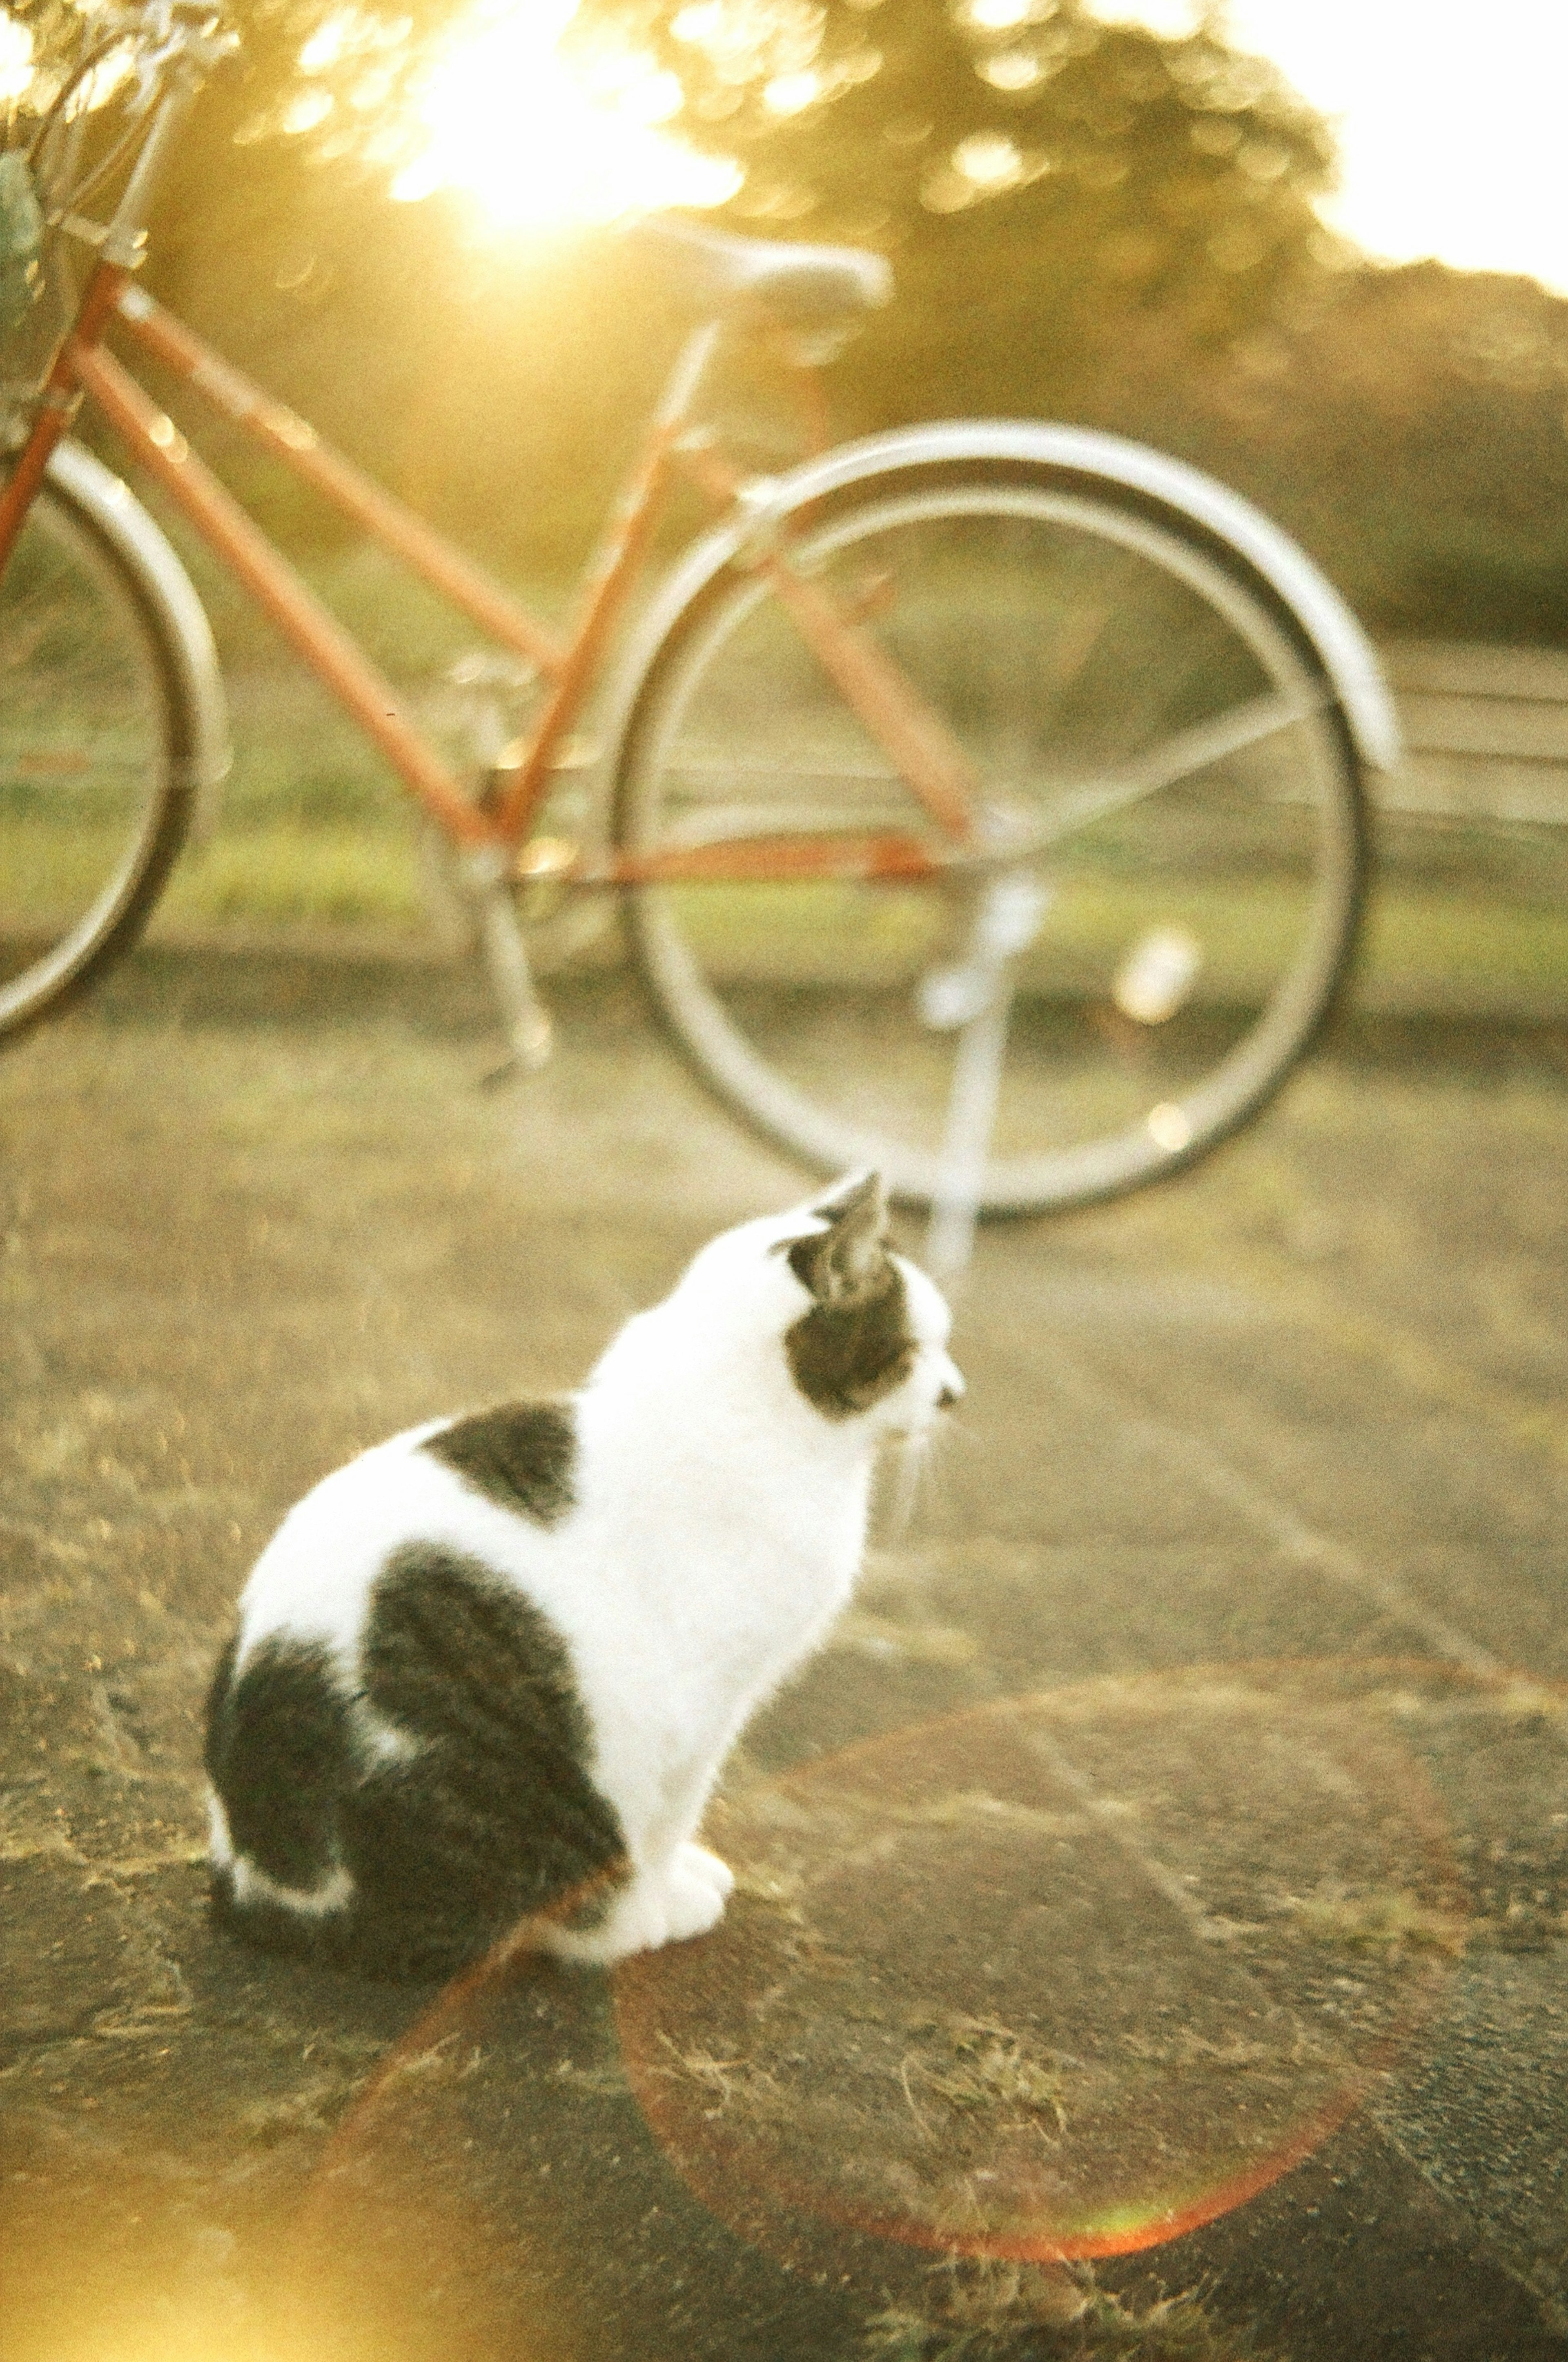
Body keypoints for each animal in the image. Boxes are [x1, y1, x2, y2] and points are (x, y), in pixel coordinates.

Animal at [202, 1176, 963, 1975]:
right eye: (917, 1349)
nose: (956, 1391)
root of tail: (260, 1879)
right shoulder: (703, 1706)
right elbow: (670, 1816)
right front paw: (669, 1894)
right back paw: (629, 1921)